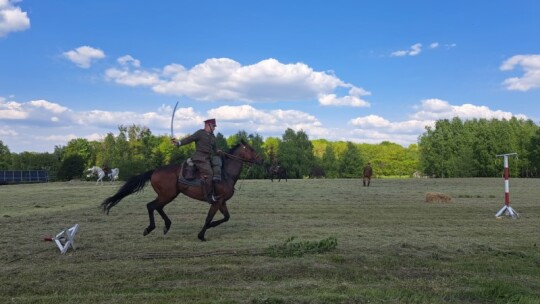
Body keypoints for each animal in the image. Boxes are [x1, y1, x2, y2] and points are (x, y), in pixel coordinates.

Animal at [102, 140, 264, 242]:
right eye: (251, 149)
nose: (261, 159)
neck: (225, 173)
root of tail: (155, 170)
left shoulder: (221, 202)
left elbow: (226, 217)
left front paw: (209, 228)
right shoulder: (216, 202)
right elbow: (209, 218)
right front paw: (201, 235)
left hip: (168, 195)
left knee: (157, 207)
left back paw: (166, 226)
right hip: (167, 195)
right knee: (151, 206)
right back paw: (150, 228)